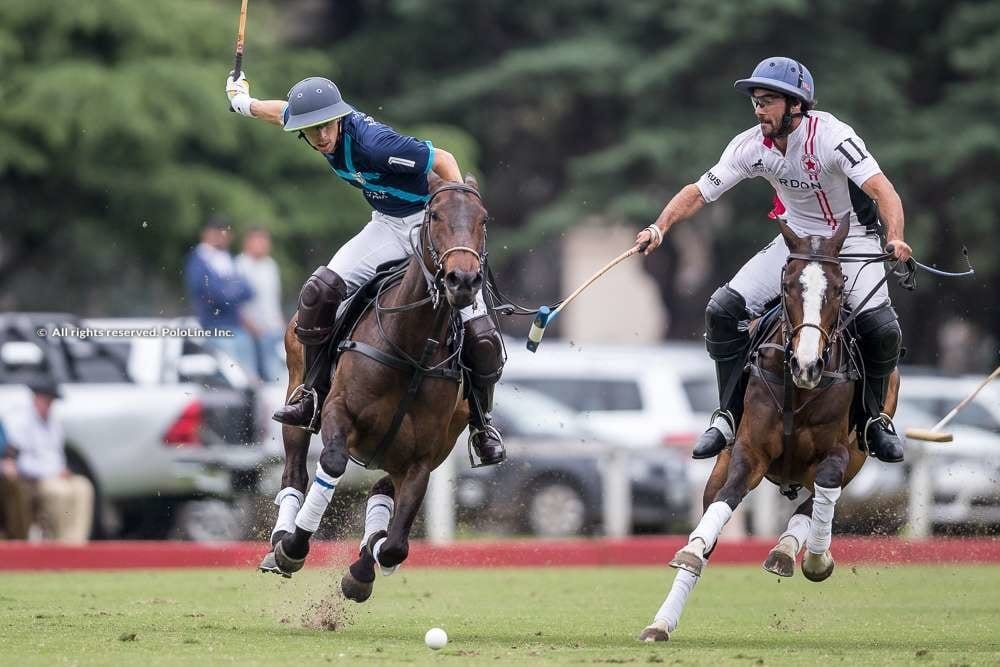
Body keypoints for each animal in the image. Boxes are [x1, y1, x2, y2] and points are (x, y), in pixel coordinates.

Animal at [262, 172, 488, 600]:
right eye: (434, 215)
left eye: (484, 219)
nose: (464, 281)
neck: (412, 349)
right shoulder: (339, 411)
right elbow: (332, 463)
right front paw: (294, 547)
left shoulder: (423, 457)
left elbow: (396, 545)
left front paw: (366, 562)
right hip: (296, 387)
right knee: (295, 471)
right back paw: (280, 539)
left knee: (382, 489)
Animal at [640, 215, 900, 640]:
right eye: (789, 284)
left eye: (839, 286)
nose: (808, 365)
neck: (798, 386)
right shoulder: (749, 451)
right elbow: (725, 501)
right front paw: (691, 551)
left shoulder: (839, 453)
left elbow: (824, 489)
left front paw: (812, 557)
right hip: (725, 458)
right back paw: (661, 622)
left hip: (858, 459)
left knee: (817, 499)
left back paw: (790, 550)